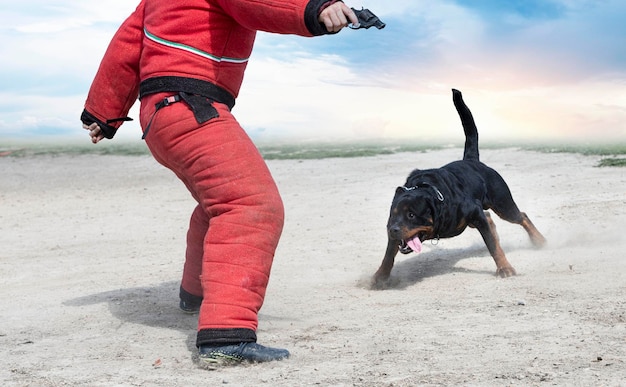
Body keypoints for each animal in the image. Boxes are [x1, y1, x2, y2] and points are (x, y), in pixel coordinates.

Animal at [372, 88, 544, 288]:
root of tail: (472, 161)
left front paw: (504, 267)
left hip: (502, 203)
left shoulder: (475, 212)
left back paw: (539, 240)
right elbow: (388, 255)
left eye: (412, 215)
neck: (435, 194)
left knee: (520, 216)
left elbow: (493, 246)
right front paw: (380, 276)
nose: (393, 229)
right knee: (490, 218)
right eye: (393, 215)